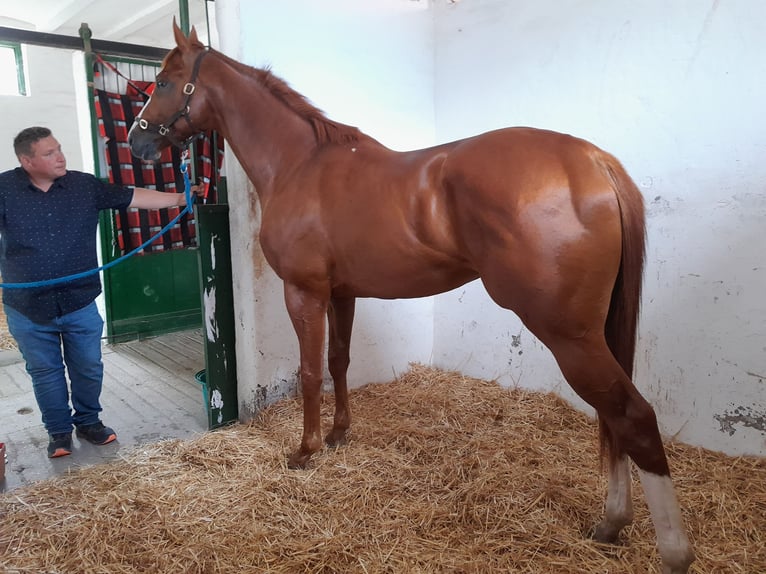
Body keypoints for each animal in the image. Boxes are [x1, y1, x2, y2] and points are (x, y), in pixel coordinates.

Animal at [130, 22, 696, 574]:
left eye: (162, 82)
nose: (137, 141)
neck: (299, 165)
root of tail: (595, 162)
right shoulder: (341, 293)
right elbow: (338, 361)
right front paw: (338, 435)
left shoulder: (304, 292)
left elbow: (309, 372)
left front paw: (306, 450)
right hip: (591, 335)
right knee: (612, 418)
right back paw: (611, 524)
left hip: (569, 335)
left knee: (632, 417)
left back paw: (670, 550)